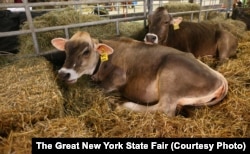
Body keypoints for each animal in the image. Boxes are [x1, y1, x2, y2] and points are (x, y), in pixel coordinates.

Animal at [50, 30, 229, 116]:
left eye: (86, 51)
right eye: (66, 49)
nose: (63, 73)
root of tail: (220, 78)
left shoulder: (118, 78)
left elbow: (99, 88)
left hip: (170, 76)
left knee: (165, 109)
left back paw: (123, 105)